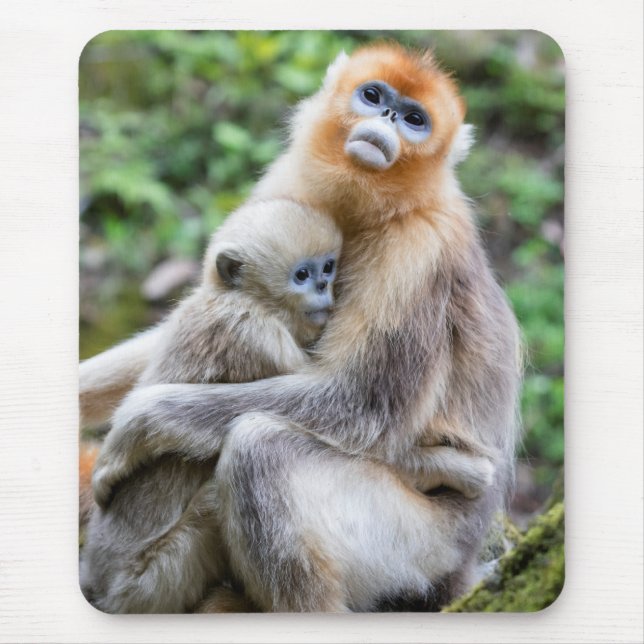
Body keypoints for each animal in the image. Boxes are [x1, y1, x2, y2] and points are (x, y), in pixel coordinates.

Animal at [86, 43, 521, 612]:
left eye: (415, 120)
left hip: (421, 545)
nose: (386, 118)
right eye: (374, 95)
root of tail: (463, 560)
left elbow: (363, 405)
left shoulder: (419, 249)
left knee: (258, 450)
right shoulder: (289, 181)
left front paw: (137, 423)